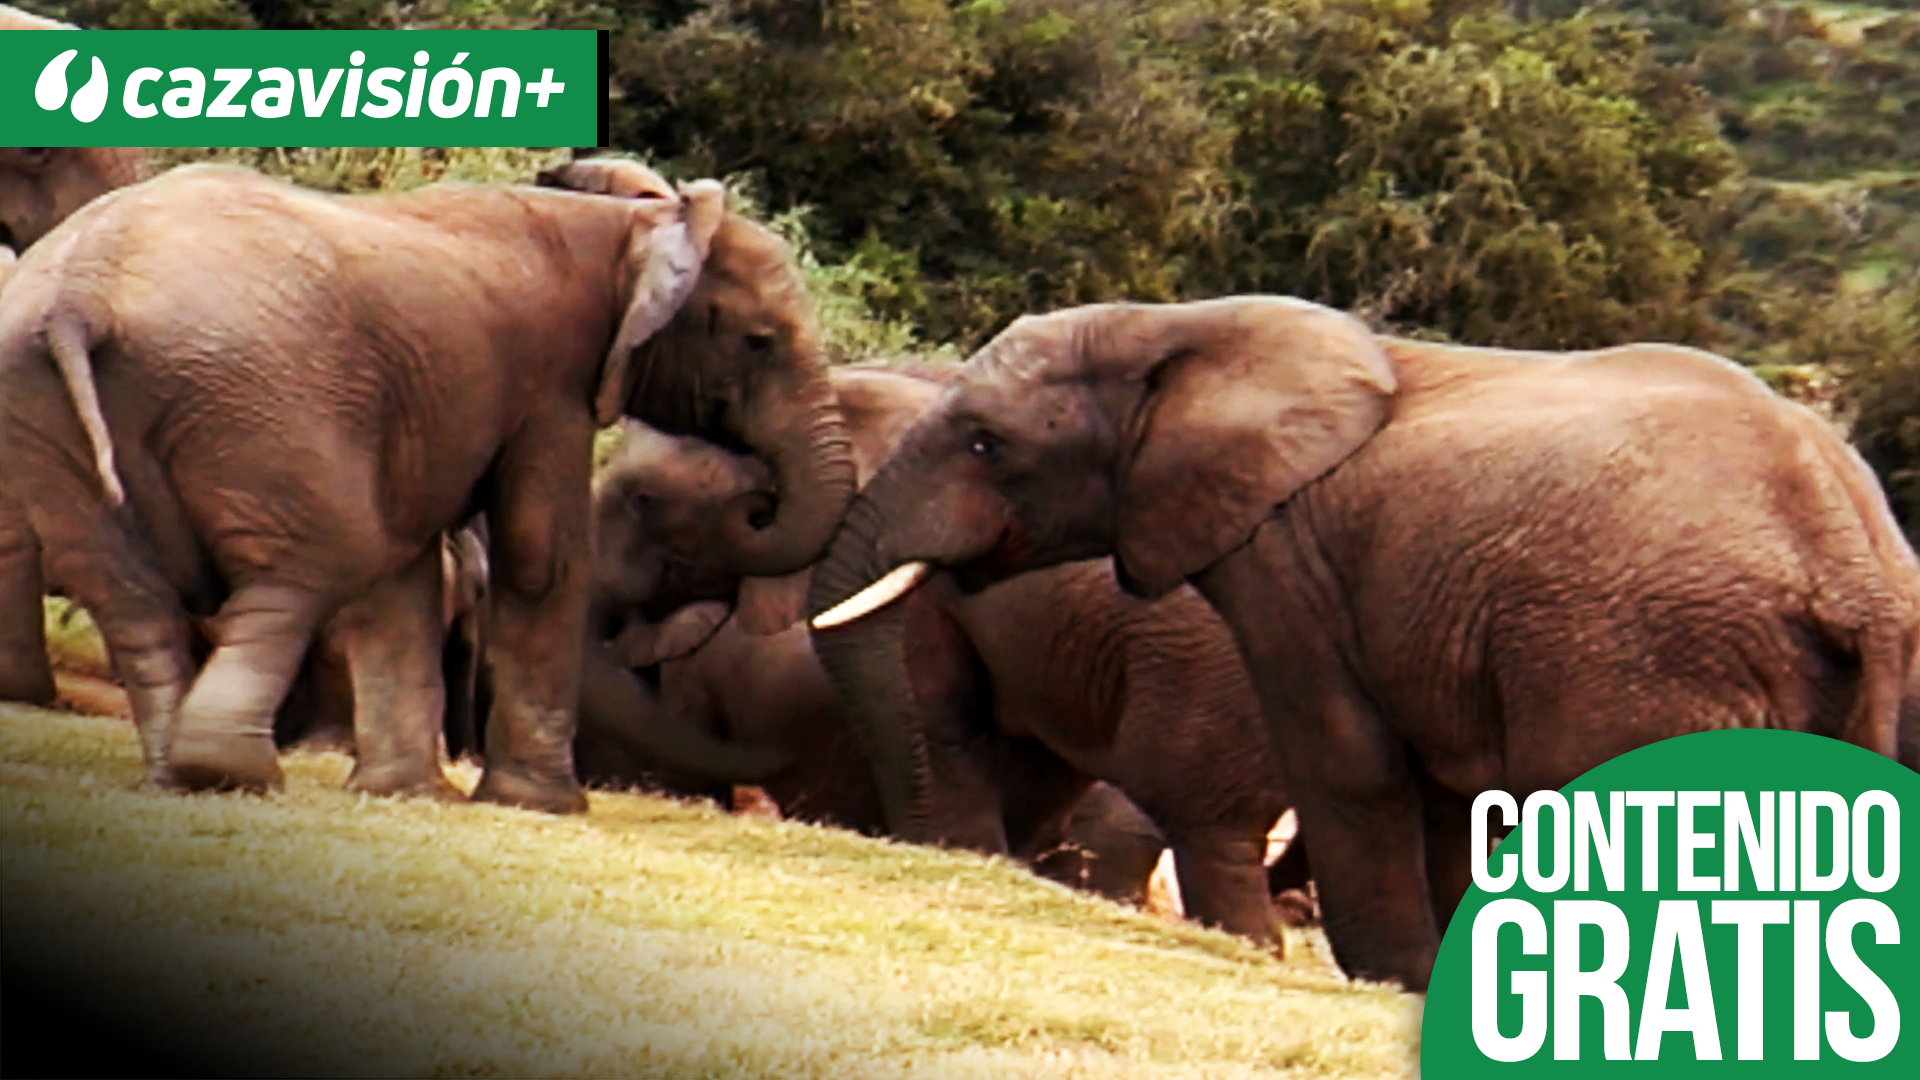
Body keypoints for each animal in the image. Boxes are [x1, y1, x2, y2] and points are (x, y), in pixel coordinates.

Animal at [0, 157, 856, 814]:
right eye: (759, 342)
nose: (755, 499)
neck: (627, 224)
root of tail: (82, 295)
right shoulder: (553, 378)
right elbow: (538, 556)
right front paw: (542, 807)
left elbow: (408, 565)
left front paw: (407, 795)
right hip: (255, 400)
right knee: (319, 560)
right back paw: (232, 774)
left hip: (45, 407)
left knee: (133, 596)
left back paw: (178, 772)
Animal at [805, 294, 1920, 989]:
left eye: (986, 442)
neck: (1188, 326)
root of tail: (1850, 561)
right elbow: (1449, 799)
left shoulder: (1287, 558)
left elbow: (1351, 764)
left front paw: (1402, 985)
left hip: (1649, 658)